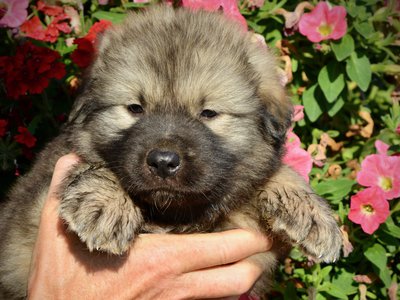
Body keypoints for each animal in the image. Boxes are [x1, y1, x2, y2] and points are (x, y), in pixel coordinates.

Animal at [0, 5, 340, 298]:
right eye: (135, 108)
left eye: (208, 113)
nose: (163, 162)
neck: (169, 213)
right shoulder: (28, 224)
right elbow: (88, 168)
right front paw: (105, 205)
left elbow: (272, 173)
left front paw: (311, 214)